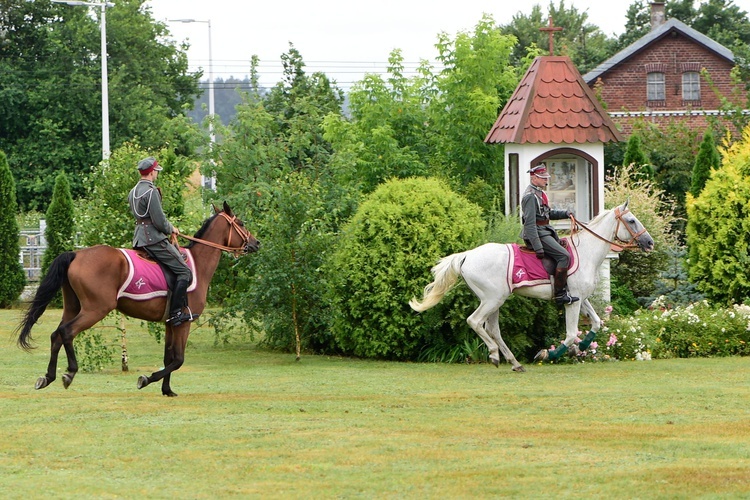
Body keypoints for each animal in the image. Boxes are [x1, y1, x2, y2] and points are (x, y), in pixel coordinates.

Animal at [16, 201, 260, 396]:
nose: (256, 243)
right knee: (67, 332)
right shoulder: (184, 322)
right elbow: (178, 360)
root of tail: (76, 254)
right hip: (95, 309)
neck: (197, 265)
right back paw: (70, 373)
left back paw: (48, 377)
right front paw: (146, 379)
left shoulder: (171, 323)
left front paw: (167, 390)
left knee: (56, 334)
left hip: (73, 307)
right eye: (241, 222)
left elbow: (169, 358)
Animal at [408, 200, 656, 372]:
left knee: (492, 329)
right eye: (631, 220)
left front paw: (580, 348)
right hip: (492, 299)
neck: (586, 252)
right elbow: (570, 334)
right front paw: (548, 355)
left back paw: (514, 362)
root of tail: (467, 255)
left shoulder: (580, 299)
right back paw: (495, 355)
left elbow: (595, 324)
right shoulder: (572, 302)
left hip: (494, 301)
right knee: (475, 321)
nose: (650, 242)